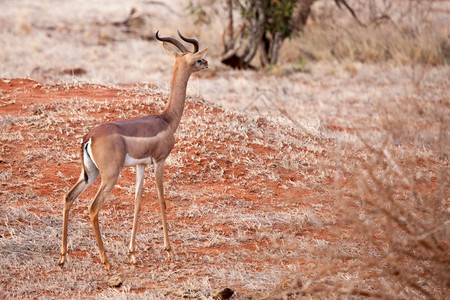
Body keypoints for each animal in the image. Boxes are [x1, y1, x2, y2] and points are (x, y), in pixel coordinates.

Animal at [57, 30, 208, 270]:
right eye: (198, 60)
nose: (207, 64)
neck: (166, 119)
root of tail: (89, 137)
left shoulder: (141, 165)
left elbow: (137, 201)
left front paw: (132, 253)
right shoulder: (159, 161)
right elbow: (162, 200)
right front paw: (169, 251)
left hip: (90, 174)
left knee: (68, 197)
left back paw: (63, 257)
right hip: (110, 176)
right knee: (93, 207)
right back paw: (106, 260)